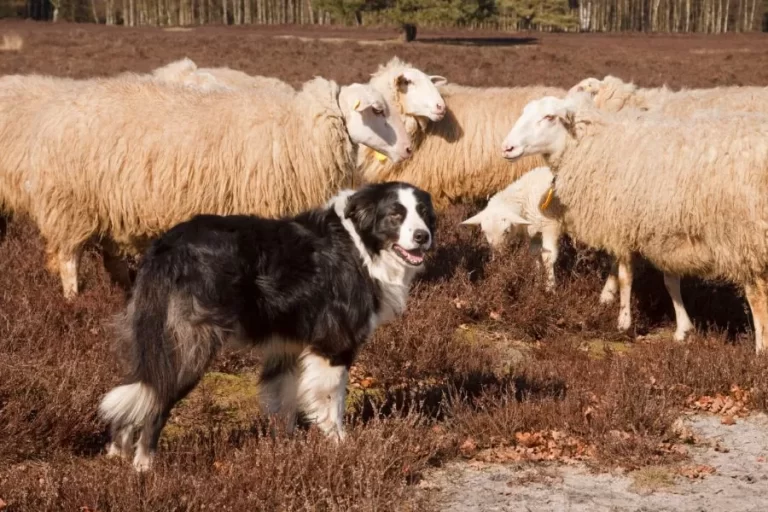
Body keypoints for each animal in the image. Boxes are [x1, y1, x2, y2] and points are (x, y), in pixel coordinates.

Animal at [6, 72, 414, 298]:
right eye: (377, 111)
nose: (409, 148)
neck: (296, 130)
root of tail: (52, 113)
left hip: (109, 207)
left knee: (109, 255)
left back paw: (124, 291)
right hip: (69, 203)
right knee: (69, 257)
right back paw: (73, 300)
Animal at [500, 94, 768, 350]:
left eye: (549, 117)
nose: (507, 147)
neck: (595, 145)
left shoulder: (622, 224)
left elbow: (625, 275)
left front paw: (623, 322)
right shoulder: (661, 228)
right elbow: (670, 281)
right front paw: (682, 329)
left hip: (745, 236)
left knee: (757, 296)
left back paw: (759, 350)